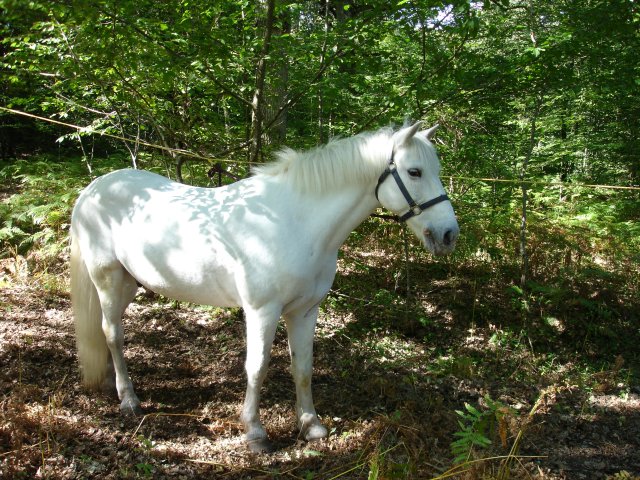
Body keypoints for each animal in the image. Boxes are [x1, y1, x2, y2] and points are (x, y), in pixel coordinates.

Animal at [70, 121, 459, 453]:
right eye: (414, 172)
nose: (448, 235)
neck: (294, 222)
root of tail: (93, 189)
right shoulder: (262, 312)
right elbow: (256, 367)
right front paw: (255, 432)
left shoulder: (305, 310)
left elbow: (303, 366)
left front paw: (311, 425)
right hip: (108, 279)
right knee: (113, 333)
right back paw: (129, 399)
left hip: (128, 284)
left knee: (108, 332)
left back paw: (111, 381)